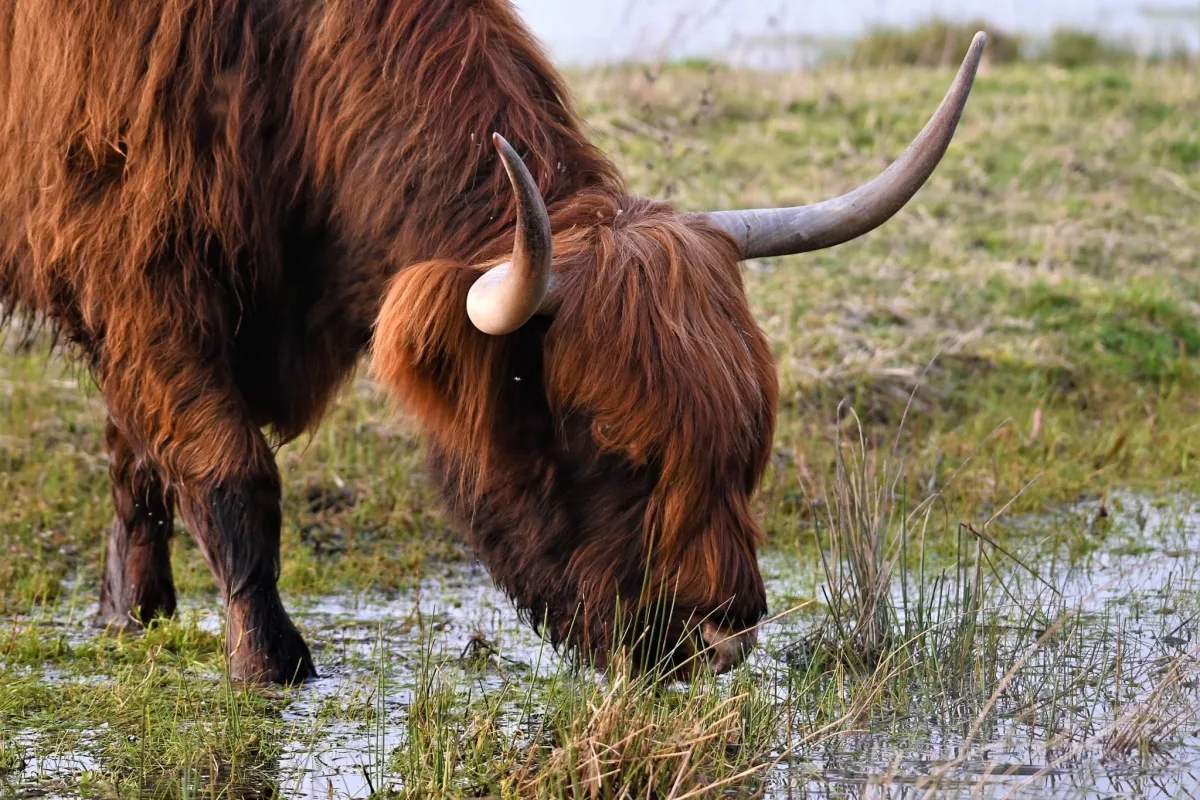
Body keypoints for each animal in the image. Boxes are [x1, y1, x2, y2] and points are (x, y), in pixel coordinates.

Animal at [0, 0, 984, 683]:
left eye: (750, 440)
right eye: (607, 438)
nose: (722, 635)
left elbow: (137, 454)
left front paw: (130, 613)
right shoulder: (136, 270)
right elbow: (228, 469)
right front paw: (268, 662)